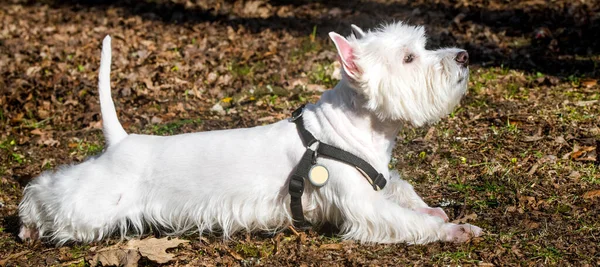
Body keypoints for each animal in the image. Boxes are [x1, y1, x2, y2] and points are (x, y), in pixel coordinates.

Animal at [17, 22, 482, 246]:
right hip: (94, 205)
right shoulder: (360, 205)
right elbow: (405, 220)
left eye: (422, 47)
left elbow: (405, 194)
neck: (355, 128)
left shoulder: (378, 183)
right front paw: (457, 230)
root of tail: (120, 140)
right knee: (44, 188)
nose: (463, 55)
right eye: (408, 58)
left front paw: (437, 212)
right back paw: (28, 227)